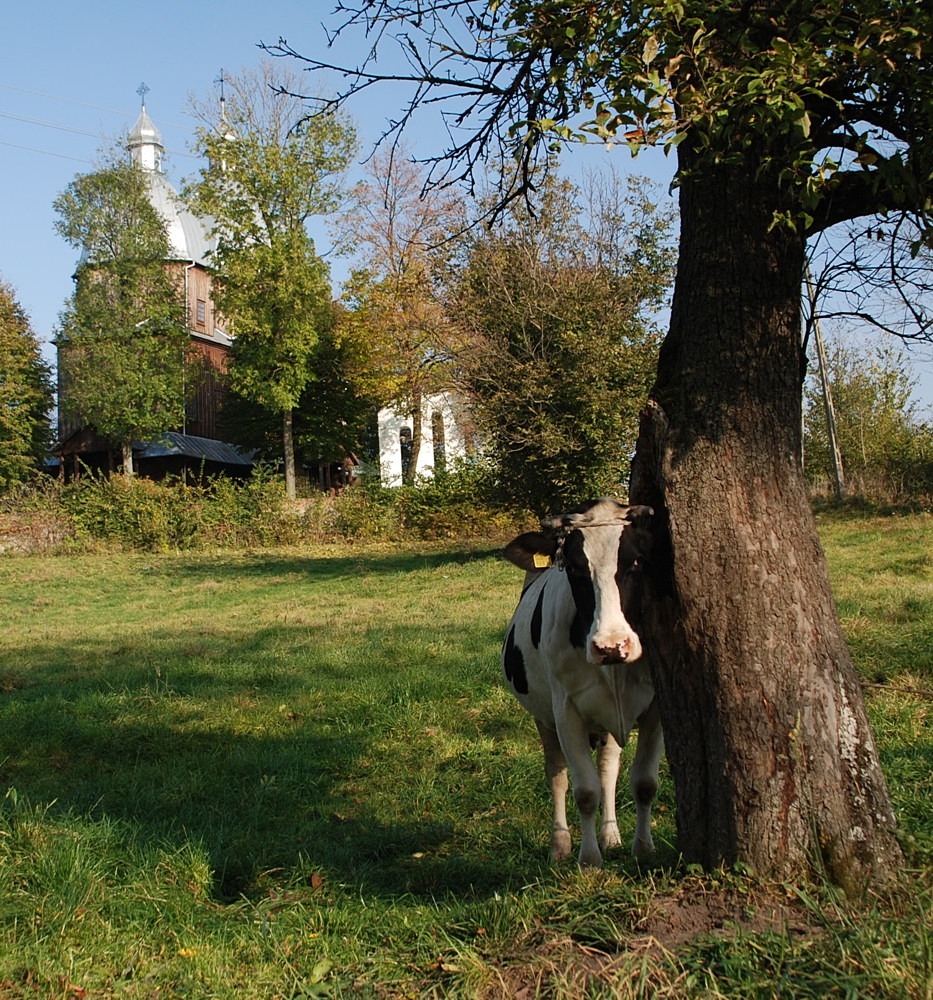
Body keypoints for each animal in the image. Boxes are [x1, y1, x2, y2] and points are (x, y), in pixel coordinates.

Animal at [498, 500, 660, 868]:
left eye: (637, 560)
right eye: (573, 568)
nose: (611, 646)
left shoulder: (656, 708)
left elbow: (644, 783)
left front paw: (642, 848)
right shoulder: (566, 711)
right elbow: (584, 791)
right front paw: (588, 859)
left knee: (608, 769)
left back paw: (611, 835)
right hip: (544, 718)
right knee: (557, 774)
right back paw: (560, 844)